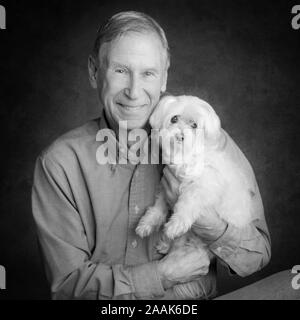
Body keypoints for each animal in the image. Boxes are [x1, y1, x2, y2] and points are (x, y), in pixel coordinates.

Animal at [136, 95, 255, 300]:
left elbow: (187, 204)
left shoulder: (202, 187)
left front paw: (175, 225)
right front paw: (147, 224)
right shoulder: (166, 187)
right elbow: (158, 208)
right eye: (174, 119)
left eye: (194, 125)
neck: (184, 157)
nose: (180, 136)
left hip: (202, 241)